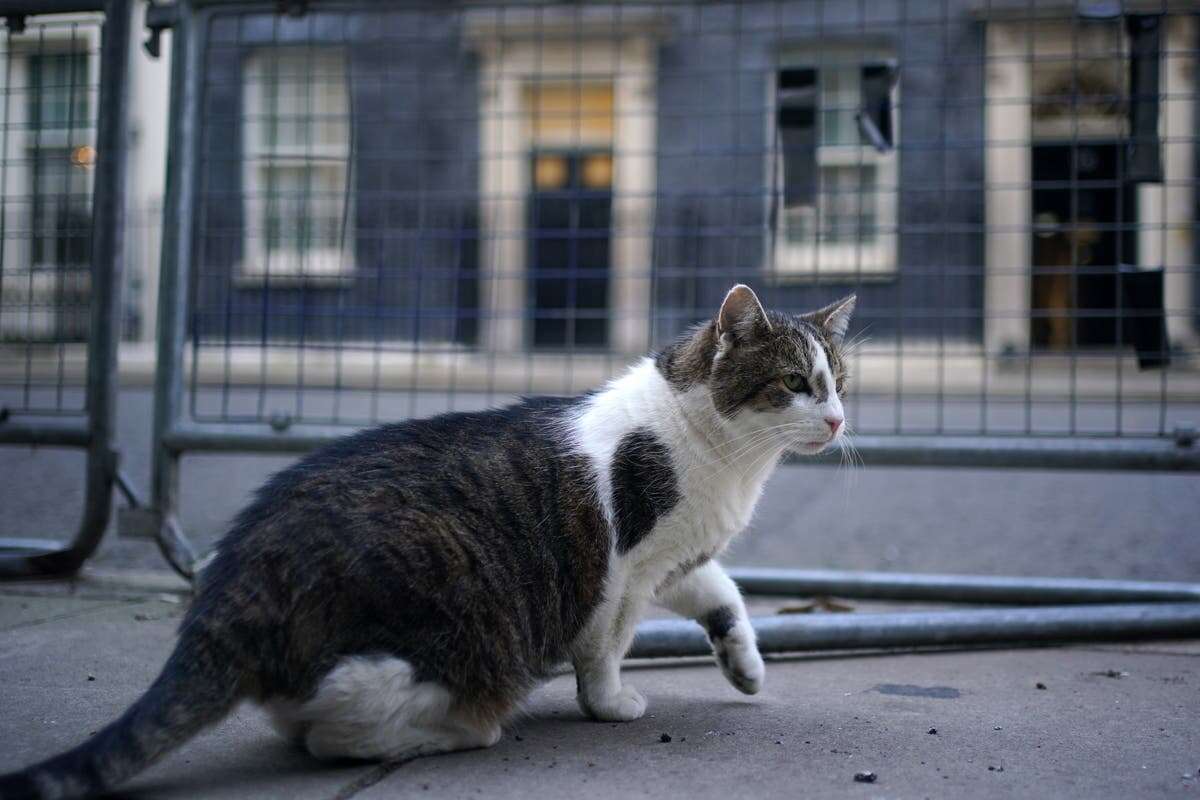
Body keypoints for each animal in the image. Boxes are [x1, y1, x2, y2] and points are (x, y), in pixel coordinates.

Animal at [0, 284, 854, 796]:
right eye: (794, 384)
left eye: (840, 379)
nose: (842, 419)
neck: (725, 457)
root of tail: (235, 585)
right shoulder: (626, 570)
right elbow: (606, 649)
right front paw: (611, 703)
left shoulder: (677, 555)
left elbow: (722, 591)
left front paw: (745, 666)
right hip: (450, 616)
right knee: (329, 724)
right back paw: (452, 730)